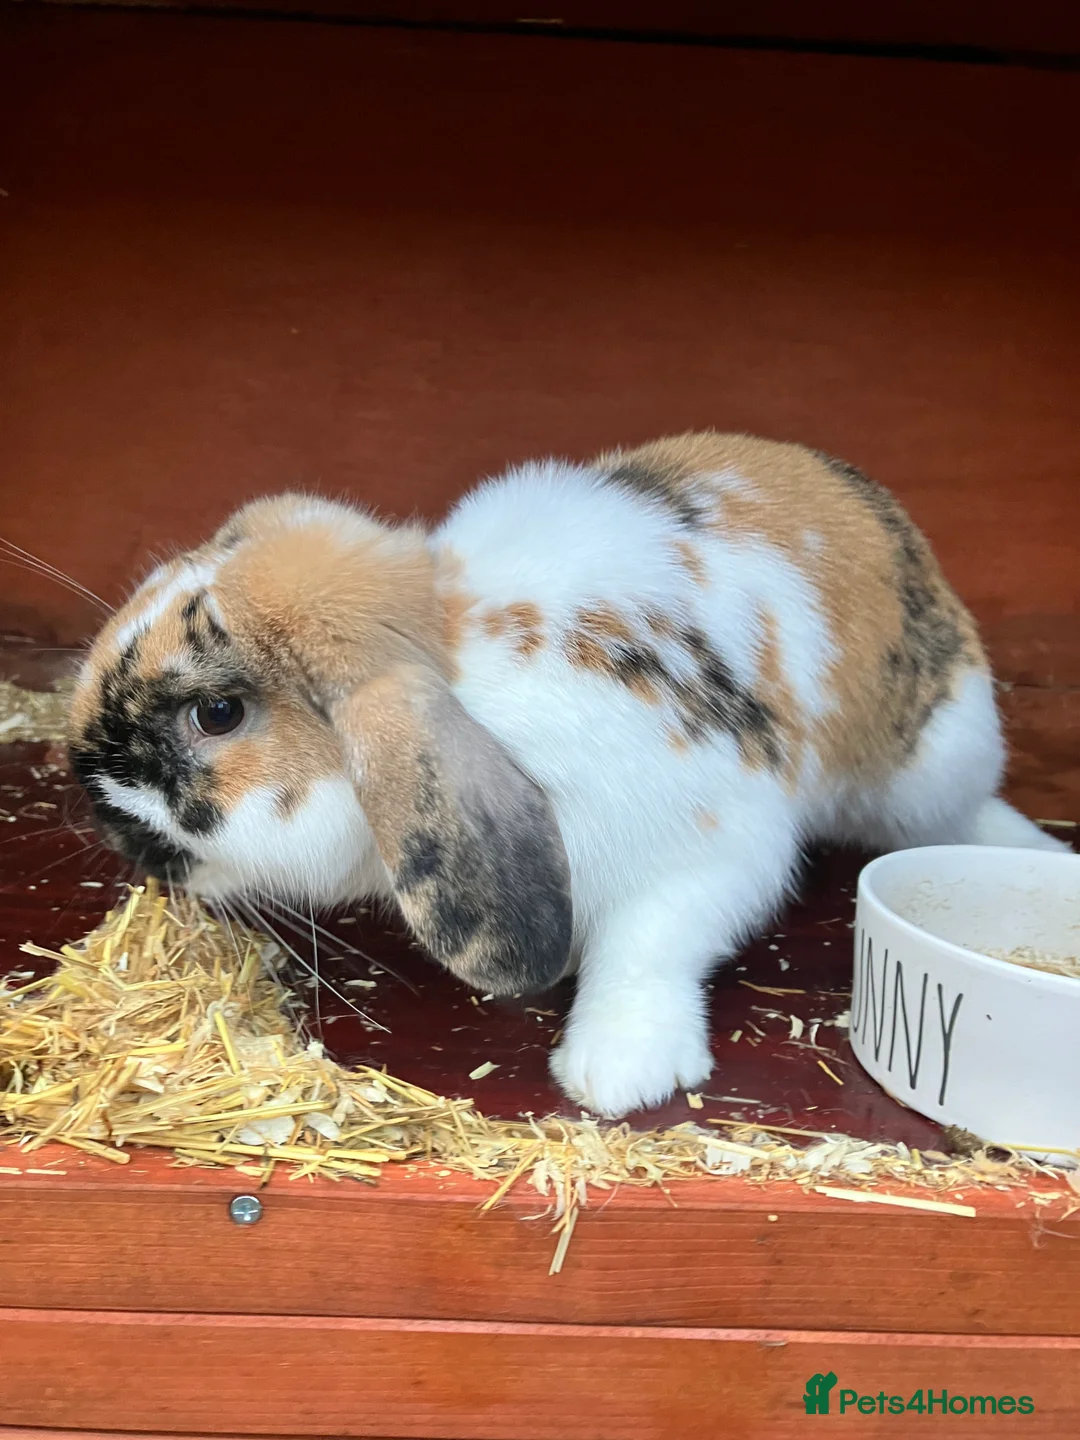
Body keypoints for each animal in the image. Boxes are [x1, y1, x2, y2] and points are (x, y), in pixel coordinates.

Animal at [67, 431, 1067, 1118]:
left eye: (217, 713)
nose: (105, 819)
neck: (461, 666)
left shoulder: (705, 855)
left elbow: (647, 948)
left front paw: (618, 1070)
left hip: (928, 763)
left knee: (960, 809)